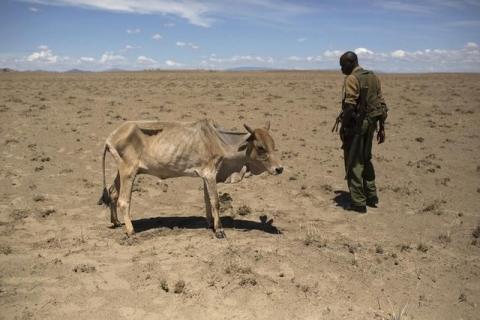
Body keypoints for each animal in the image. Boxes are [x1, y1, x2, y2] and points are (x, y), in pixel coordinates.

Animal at [99, 119, 284, 239]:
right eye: (260, 147)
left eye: (274, 145)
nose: (279, 168)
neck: (220, 141)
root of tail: (110, 137)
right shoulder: (210, 173)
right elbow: (215, 201)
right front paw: (219, 230)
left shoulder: (206, 176)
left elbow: (207, 201)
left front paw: (210, 224)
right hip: (128, 172)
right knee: (123, 201)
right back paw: (131, 231)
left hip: (123, 171)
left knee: (113, 192)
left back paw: (116, 221)